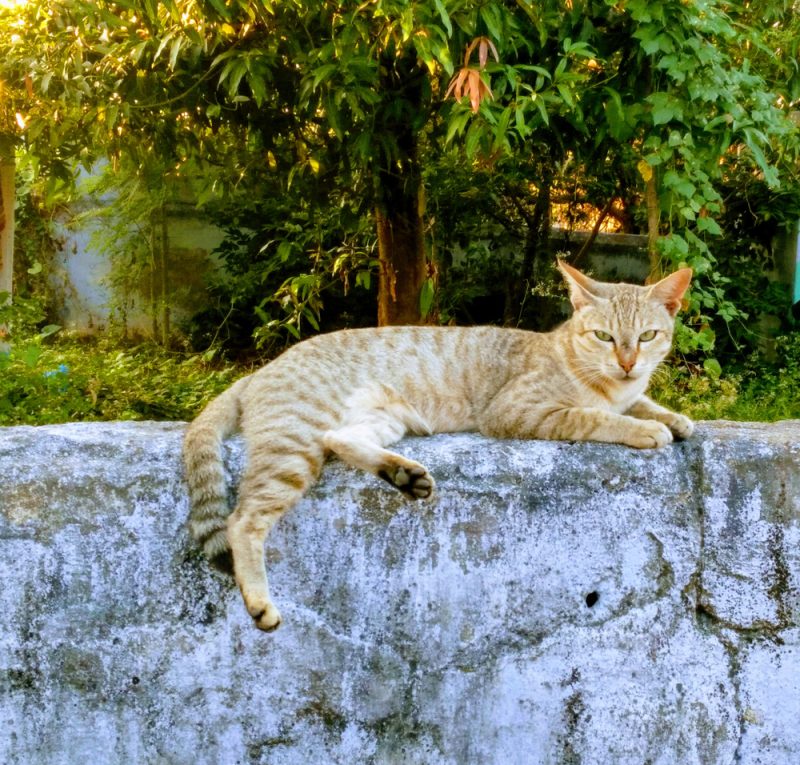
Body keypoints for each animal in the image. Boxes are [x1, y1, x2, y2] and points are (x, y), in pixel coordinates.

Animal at [183, 260, 692, 628]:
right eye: (604, 336)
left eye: (647, 335)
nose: (627, 362)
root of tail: (260, 370)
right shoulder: (518, 411)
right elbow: (595, 416)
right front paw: (645, 429)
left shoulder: (629, 390)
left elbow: (643, 402)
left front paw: (674, 417)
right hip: (293, 448)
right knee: (243, 520)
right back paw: (259, 600)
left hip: (380, 418)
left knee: (341, 438)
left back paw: (404, 475)